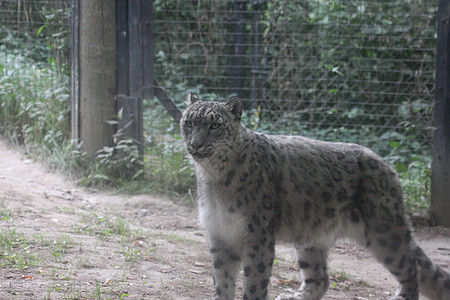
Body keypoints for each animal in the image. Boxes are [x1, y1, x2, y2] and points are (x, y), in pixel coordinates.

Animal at [179, 92, 450, 300]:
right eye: (189, 123)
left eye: (215, 125)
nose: (196, 143)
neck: (214, 177)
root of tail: (387, 166)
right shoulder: (220, 232)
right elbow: (222, 279)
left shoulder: (256, 234)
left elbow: (254, 281)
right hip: (310, 238)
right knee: (320, 278)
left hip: (384, 232)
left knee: (411, 268)